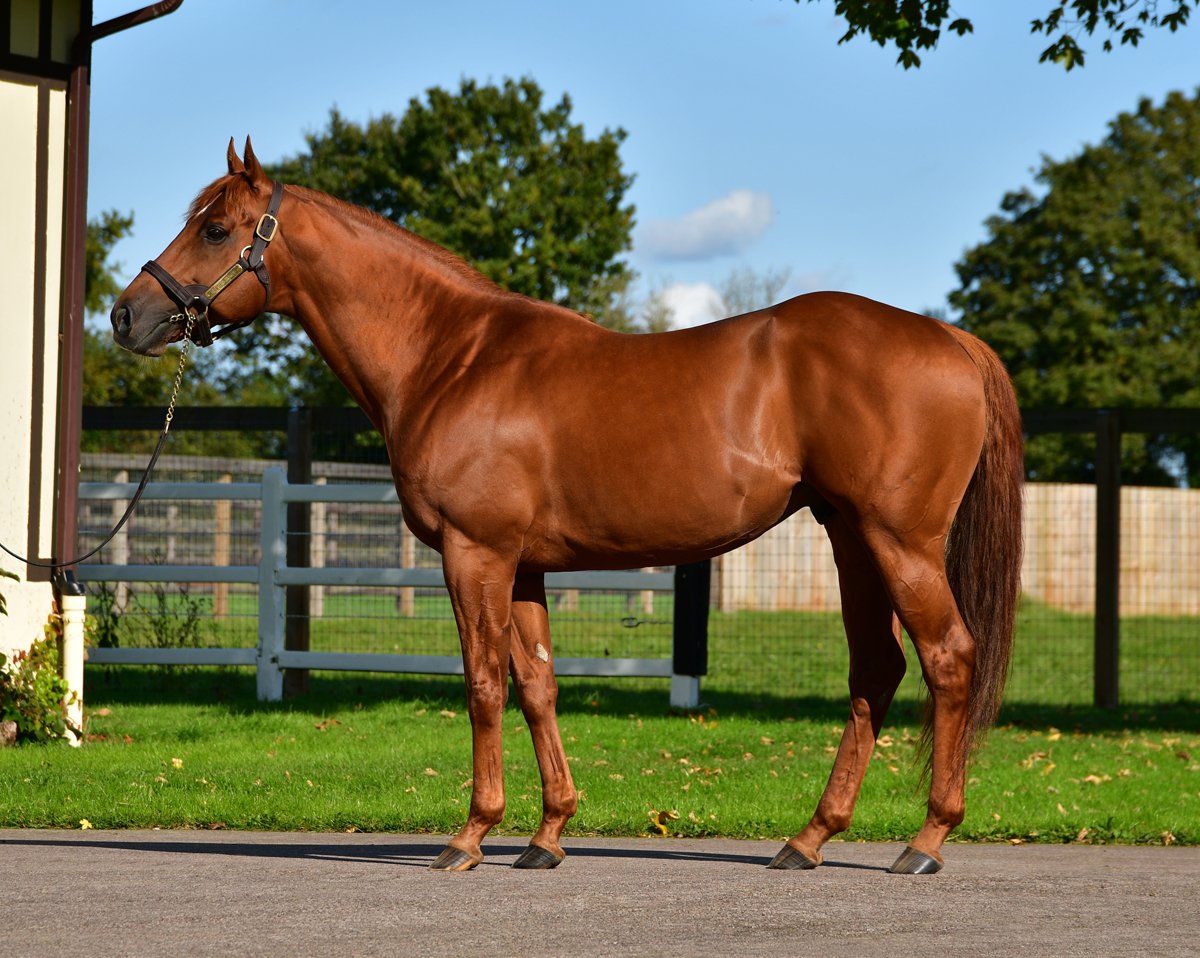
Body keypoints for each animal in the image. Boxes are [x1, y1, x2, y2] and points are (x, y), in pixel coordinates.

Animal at [110, 139, 1023, 875]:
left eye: (217, 229)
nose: (126, 314)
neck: (451, 357)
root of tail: (950, 340)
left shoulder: (474, 552)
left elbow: (483, 683)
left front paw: (470, 836)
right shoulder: (524, 568)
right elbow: (538, 685)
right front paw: (546, 836)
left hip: (899, 541)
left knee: (948, 659)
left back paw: (925, 842)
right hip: (851, 540)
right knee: (876, 671)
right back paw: (808, 840)